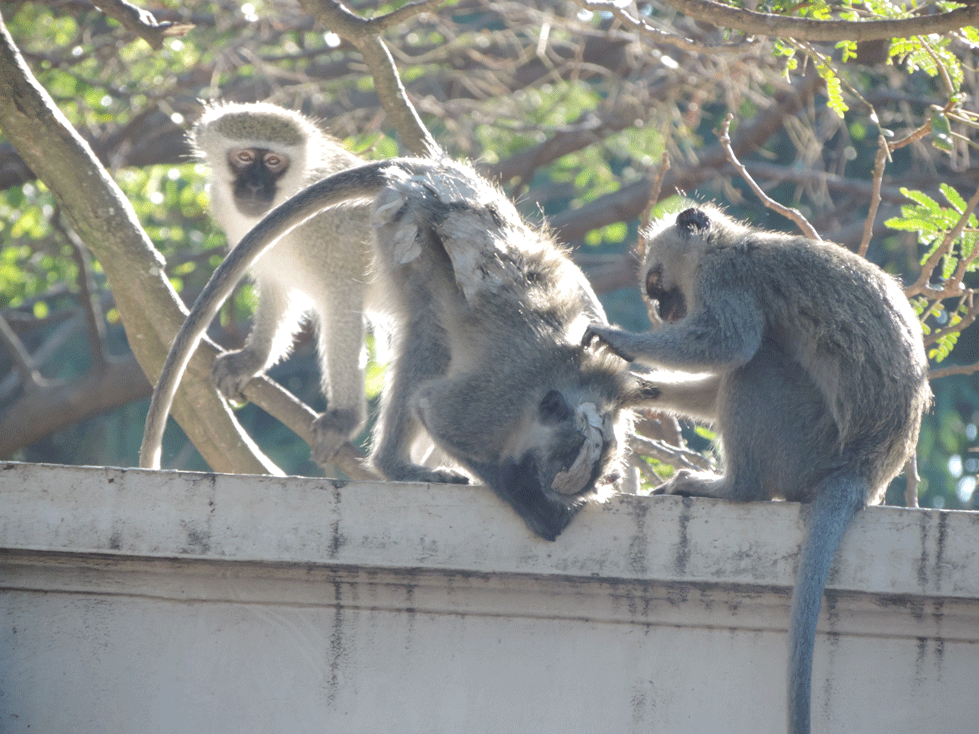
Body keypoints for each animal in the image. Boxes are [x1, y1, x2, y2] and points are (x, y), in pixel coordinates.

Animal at [141, 157, 656, 540]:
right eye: (557, 463)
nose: (549, 487)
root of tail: (426, 171)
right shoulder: (495, 408)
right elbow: (433, 409)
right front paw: (536, 507)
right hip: (408, 224)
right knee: (428, 325)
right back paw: (394, 466)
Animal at [191, 101, 381, 466]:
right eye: (244, 157)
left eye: (274, 162)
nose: (254, 187)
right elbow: (277, 285)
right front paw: (253, 359)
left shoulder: (331, 228)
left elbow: (341, 301)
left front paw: (345, 418)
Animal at [582, 205, 931, 734]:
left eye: (658, 284)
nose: (663, 313)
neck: (733, 245)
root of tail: (864, 473)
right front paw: (636, 389)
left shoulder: (728, 281)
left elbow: (731, 345)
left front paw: (621, 342)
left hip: (805, 447)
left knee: (756, 364)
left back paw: (732, 489)